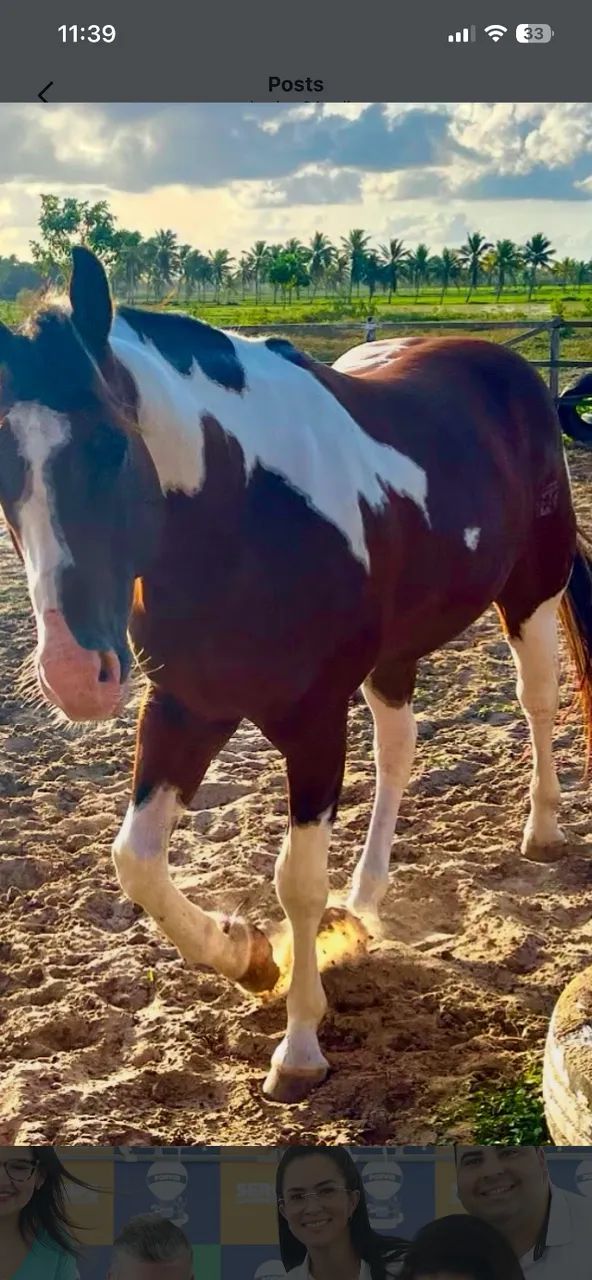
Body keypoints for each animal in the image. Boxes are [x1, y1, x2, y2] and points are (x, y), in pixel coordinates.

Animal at [1, 245, 592, 1104]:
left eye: (112, 445)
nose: (74, 674)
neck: (245, 512)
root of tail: (505, 367)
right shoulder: (184, 706)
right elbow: (135, 862)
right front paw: (246, 955)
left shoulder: (312, 719)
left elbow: (297, 882)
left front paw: (301, 1044)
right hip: (394, 657)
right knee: (399, 750)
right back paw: (367, 896)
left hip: (529, 594)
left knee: (537, 701)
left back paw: (542, 830)